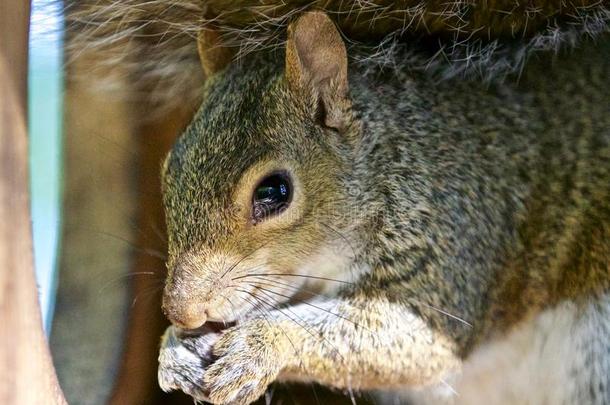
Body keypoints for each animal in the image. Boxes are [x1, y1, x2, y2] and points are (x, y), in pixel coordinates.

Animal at [153, 9, 608, 404]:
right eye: (170, 166)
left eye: (274, 191)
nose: (182, 311)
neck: (388, 165)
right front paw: (174, 352)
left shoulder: (454, 241)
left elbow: (414, 341)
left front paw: (259, 344)